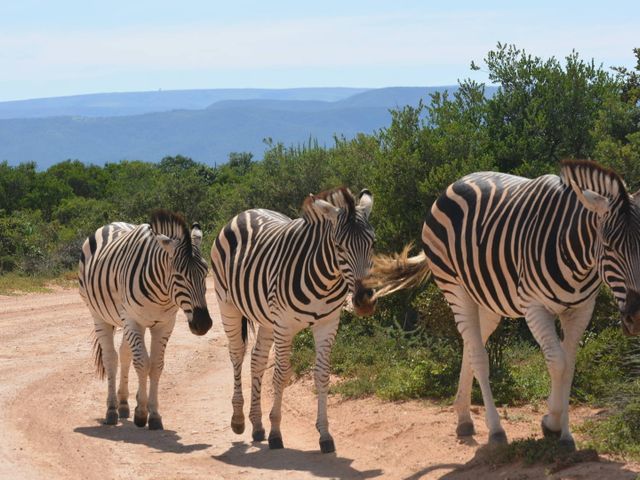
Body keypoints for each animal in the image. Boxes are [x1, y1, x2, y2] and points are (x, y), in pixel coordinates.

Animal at [79, 212, 211, 430]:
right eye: (178, 276)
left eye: (206, 273)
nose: (203, 324)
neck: (162, 292)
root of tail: (111, 224)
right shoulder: (134, 320)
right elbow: (142, 364)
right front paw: (141, 413)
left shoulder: (165, 324)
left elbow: (156, 366)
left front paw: (154, 414)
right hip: (99, 315)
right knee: (111, 358)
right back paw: (112, 410)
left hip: (125, 321)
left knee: (124, 354)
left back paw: (123, 404)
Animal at [212, 186, 378, 452]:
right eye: (339, 246)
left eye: (373, 243)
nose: (364, 301)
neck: (325, 280)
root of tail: (246, 212)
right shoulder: (284, 325)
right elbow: (281, 375)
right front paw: (276, 434)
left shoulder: (327, 324)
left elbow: (322, 375)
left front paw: (325, 435)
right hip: (228, 305)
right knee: (237, 354)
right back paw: (238, 420)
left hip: (266, 318)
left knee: (257, 360)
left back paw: (257, 426)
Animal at [364, 160, 640, 446]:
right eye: (608, 246)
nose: (636, 317)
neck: (578, 260)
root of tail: (454, 184)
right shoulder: (534, 307)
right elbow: (558, 363)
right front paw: (551, 424)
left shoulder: (581, 309)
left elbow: (570, 365)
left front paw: (564, 432)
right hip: (454, 287)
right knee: (478, 355)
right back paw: (495, 428)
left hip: (487, 302)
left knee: (470, 346)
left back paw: (464, 418)